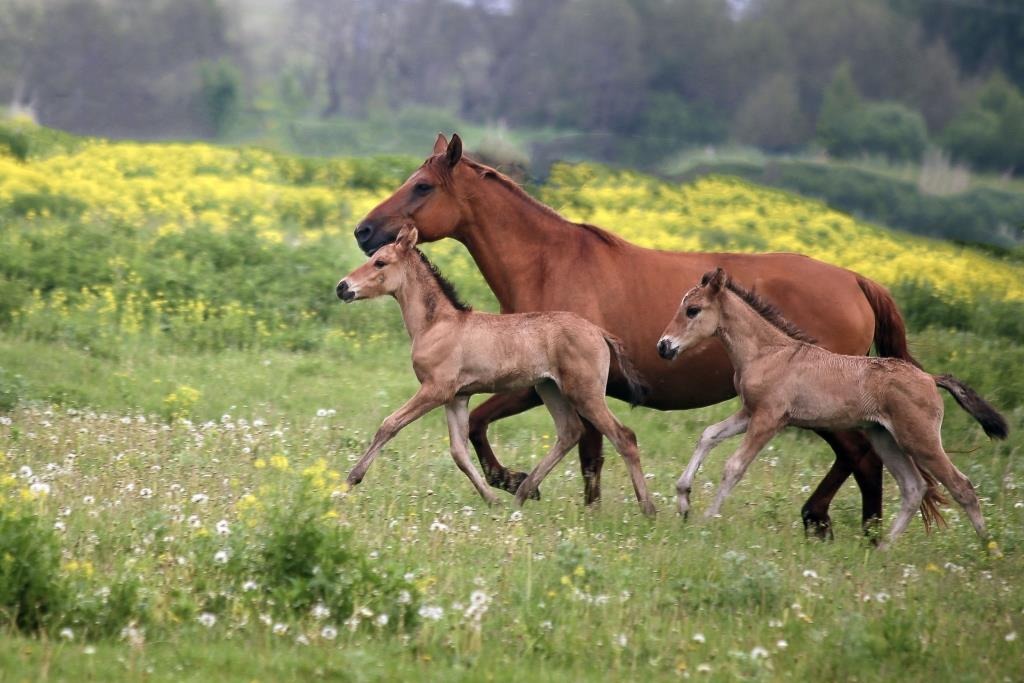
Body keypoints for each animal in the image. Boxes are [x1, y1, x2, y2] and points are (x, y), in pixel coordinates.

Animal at [335, 227, 655, 516]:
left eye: (380, 262)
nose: (342, 287)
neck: (437, 324)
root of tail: (599, 332)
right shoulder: (457, 397)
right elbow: (458, 452)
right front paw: (493, 500)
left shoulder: (435, 390)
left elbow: (389, 424)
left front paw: (350, 481)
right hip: (550, 388)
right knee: (570, 432)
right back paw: (521, 495)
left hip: (585, 393)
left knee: (624, 437)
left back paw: (648, 510)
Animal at [655, 268, 1007, 548]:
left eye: (693, 310)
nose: (664, 346)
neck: (770, 352)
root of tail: (930, 378)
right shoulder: (749, 412)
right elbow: (708, 435)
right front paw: (683, 500)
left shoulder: (770, 418)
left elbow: (734, 466)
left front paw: (706, 518)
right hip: (886, 438)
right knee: (914, 487)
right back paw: (883, 550)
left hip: (920, 440)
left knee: (962, 486)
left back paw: (988, 551)